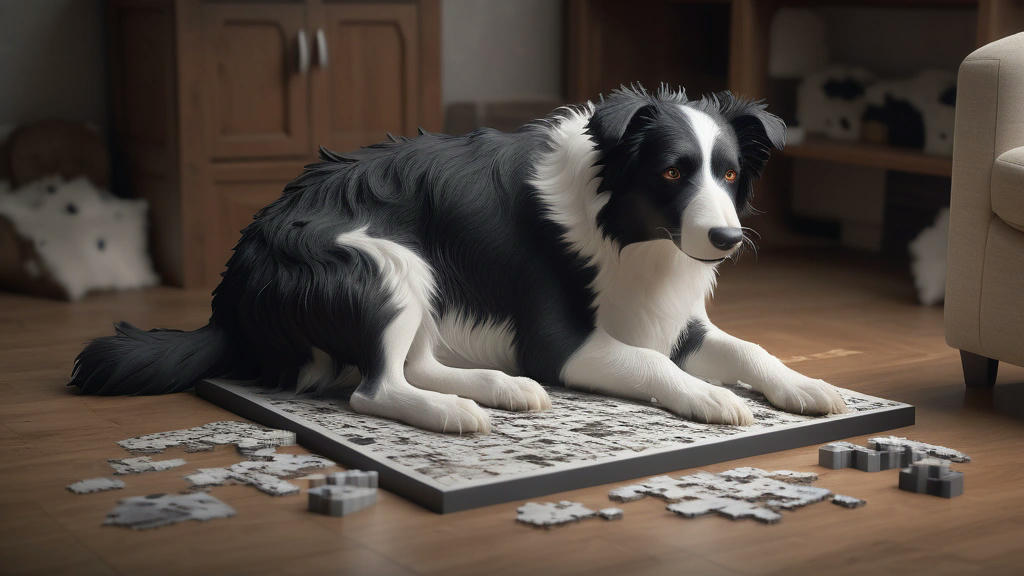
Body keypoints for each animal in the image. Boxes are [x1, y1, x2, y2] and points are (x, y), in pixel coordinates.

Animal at [72, 86, 847, 430]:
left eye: (728, 173)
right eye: (669, 172)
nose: (726, 240)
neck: (627, 232)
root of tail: (226, 298)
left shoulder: (676, 318)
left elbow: (753, 349)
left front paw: (806, 385)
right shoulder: (561, 343)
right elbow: (654, 365)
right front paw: (711, 397)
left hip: (420, 279)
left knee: (413, 364)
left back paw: (495, 389)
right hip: (387, 261)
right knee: (376, 387)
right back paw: (458, 412)